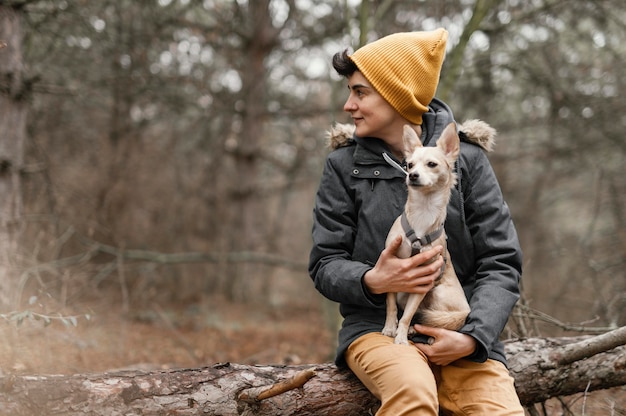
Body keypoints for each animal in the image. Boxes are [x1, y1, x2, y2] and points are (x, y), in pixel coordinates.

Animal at [378, 122, 470, 344]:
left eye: (431, 164)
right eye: (410, 165)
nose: (412, 175)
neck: (423, 212)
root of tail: (466, 310)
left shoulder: (423, 283)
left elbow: (408, 314)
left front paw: (401, 337)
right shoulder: (390, 273)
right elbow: (391, 305)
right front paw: (389, 328)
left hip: (438, 292)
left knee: (442, 322)